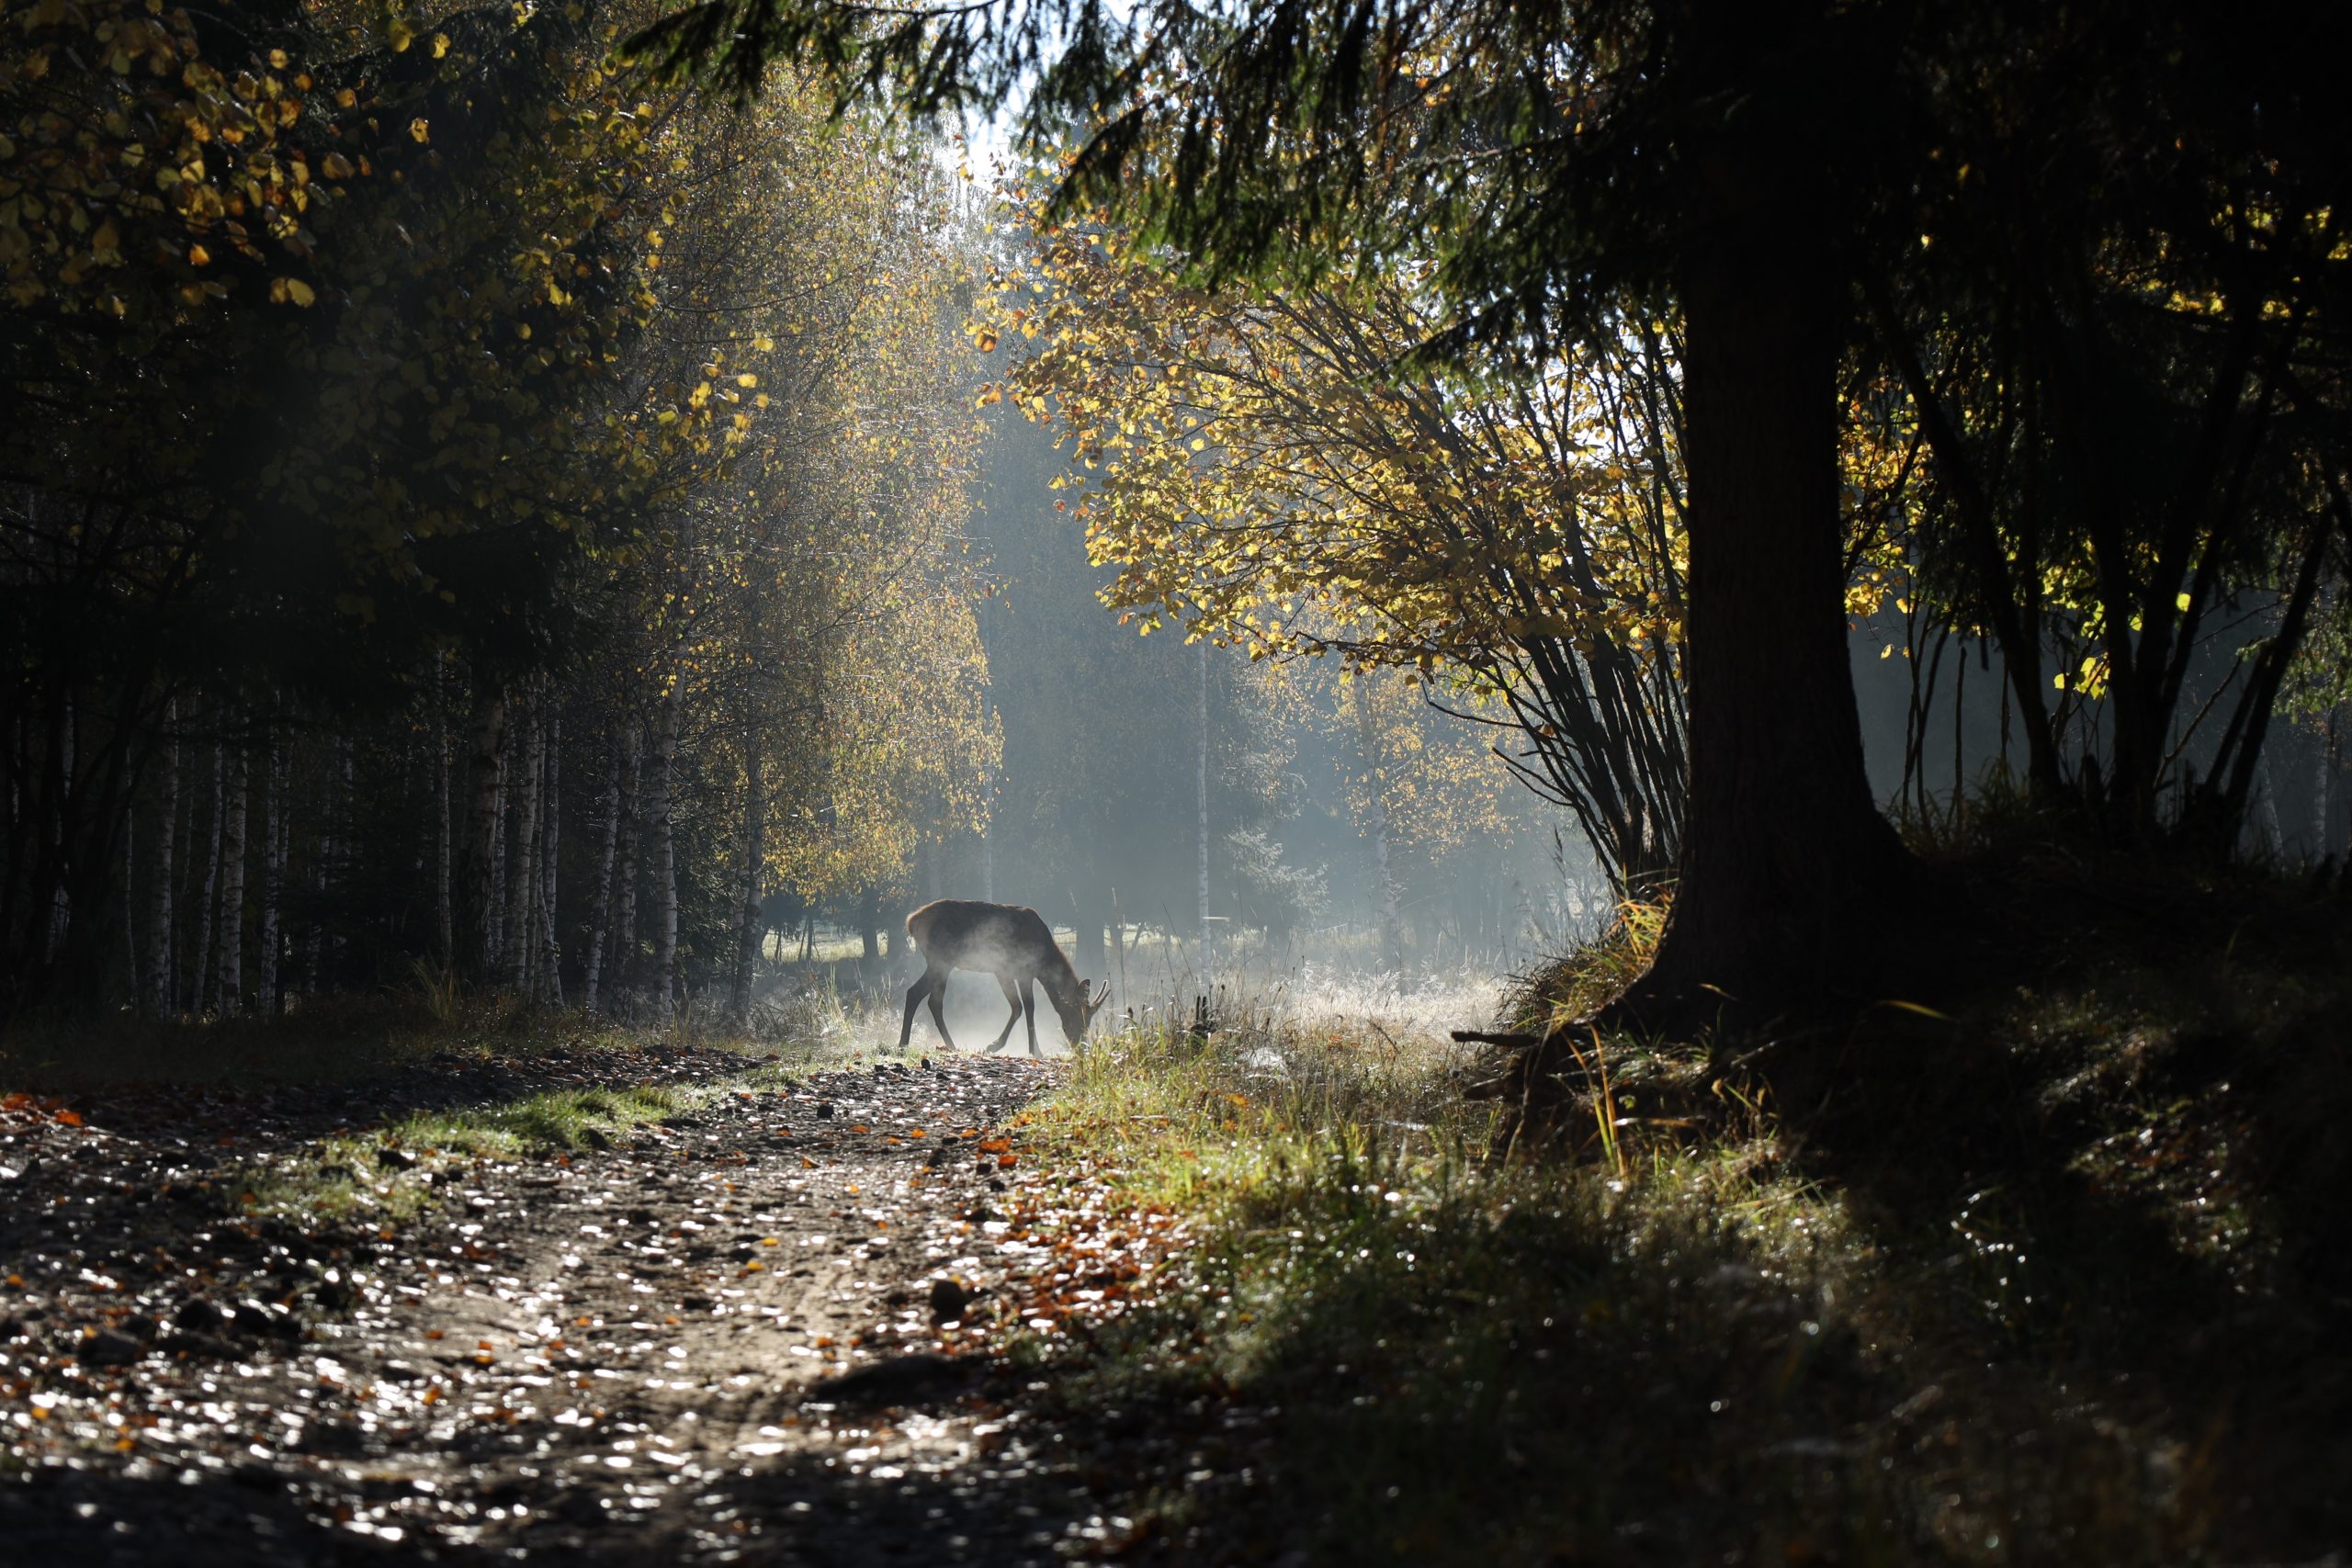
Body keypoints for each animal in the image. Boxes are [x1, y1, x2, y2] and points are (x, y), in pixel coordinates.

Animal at [903, 902, 1114, 1062]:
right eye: (1079, 1016)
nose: (1082, 1049)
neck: (1043, 959)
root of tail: (912, 921)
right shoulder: (1013, 970)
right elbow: (1025, 1007)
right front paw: (1005, 1047)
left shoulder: (1015, 973)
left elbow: (1022, 1007)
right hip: (941, 959)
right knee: (915, 992)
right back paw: (904, 1043)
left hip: (943, 964)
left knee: (933, 1002)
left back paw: (950, 1045)